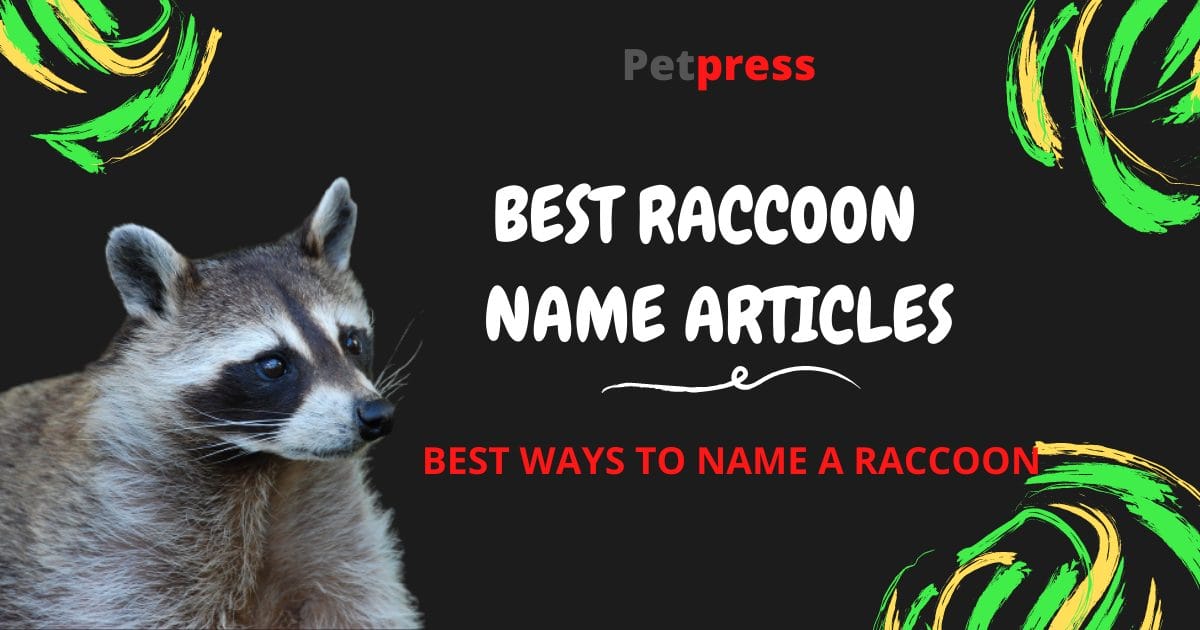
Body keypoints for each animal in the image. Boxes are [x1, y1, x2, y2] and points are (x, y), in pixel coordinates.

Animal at [0, 178, 421, 628]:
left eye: (352, 342)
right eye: (273, 364)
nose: (375, 415)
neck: (268, 467)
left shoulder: (332, 524)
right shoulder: (112, 540)